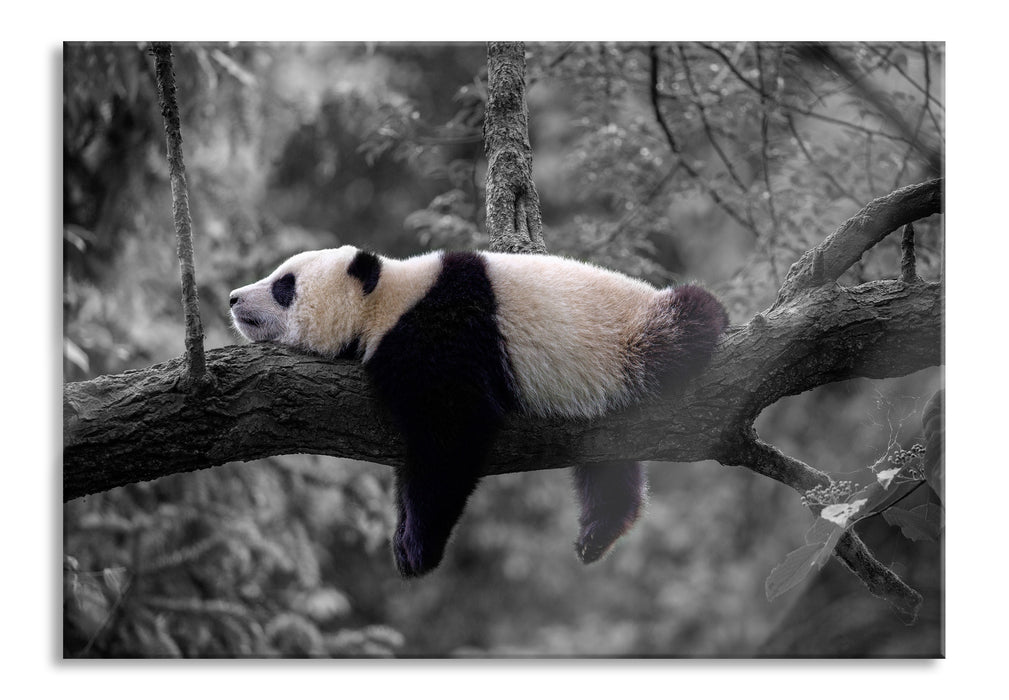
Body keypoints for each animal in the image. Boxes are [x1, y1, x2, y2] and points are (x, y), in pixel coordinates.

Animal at [229, 246, 728, 578]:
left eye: (284, 286)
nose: (234, 298)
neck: (388, 299)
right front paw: (402, 536)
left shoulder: (443, 333)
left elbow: (453, 433)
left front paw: (417, 548)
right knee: (606, 464)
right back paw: (599, 531)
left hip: (631, 337)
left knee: (686, 324)